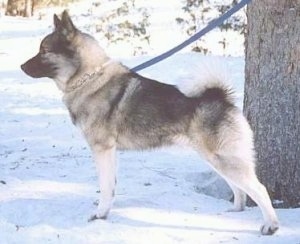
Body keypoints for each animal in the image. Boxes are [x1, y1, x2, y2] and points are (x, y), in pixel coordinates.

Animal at [20, 10, 278, 234]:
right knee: (239, 189)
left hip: (223, 158)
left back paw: (270, 226)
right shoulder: (110, 152)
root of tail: (221, 97)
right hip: (215, 159)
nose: (21, 66)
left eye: (44, 50)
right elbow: (111, 185)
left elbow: (105, 186)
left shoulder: (102, 149)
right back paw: (234, 211)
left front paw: (100, 214)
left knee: (259, 188)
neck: (88, 78)